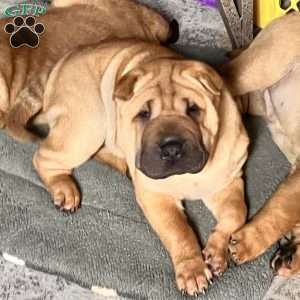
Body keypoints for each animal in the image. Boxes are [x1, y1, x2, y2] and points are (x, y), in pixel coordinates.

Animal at [29, 38, 248, 294]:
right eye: (143, 114)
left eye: (193, 109)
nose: (171, 148)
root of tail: (60, 65)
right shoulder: (156, 196)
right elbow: (179, 231)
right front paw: (192, 271)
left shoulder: (228, 181)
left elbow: (237, 213)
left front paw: (217, 250)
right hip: (87, 125)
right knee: (44, 156)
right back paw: (64, 189)